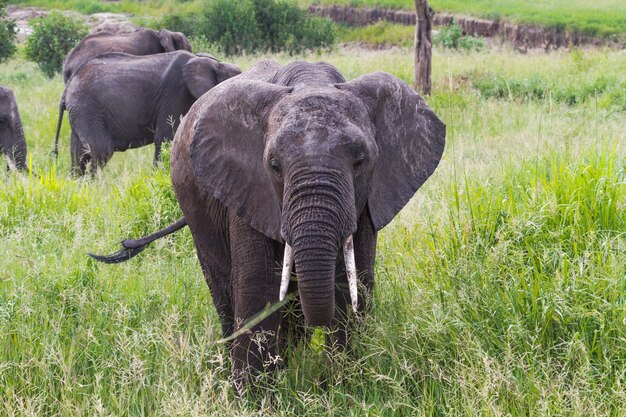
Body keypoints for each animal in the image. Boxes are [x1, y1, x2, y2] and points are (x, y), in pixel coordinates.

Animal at [61, 50, 241, 174]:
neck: (214, 63)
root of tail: (68, 86)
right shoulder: (175, 94)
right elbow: (166, 138)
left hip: (80, 113)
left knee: (78, 154)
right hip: (87, 109)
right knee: (100, 150)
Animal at [90, 58, 446, 390]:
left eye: (361, 161)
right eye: (274, 166)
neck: (312, 81)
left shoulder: (371, 198)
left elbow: (354, 285)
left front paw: (346, 387)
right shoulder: (247, 185)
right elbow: (259, 287)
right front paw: (254, 398)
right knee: (224, 288)